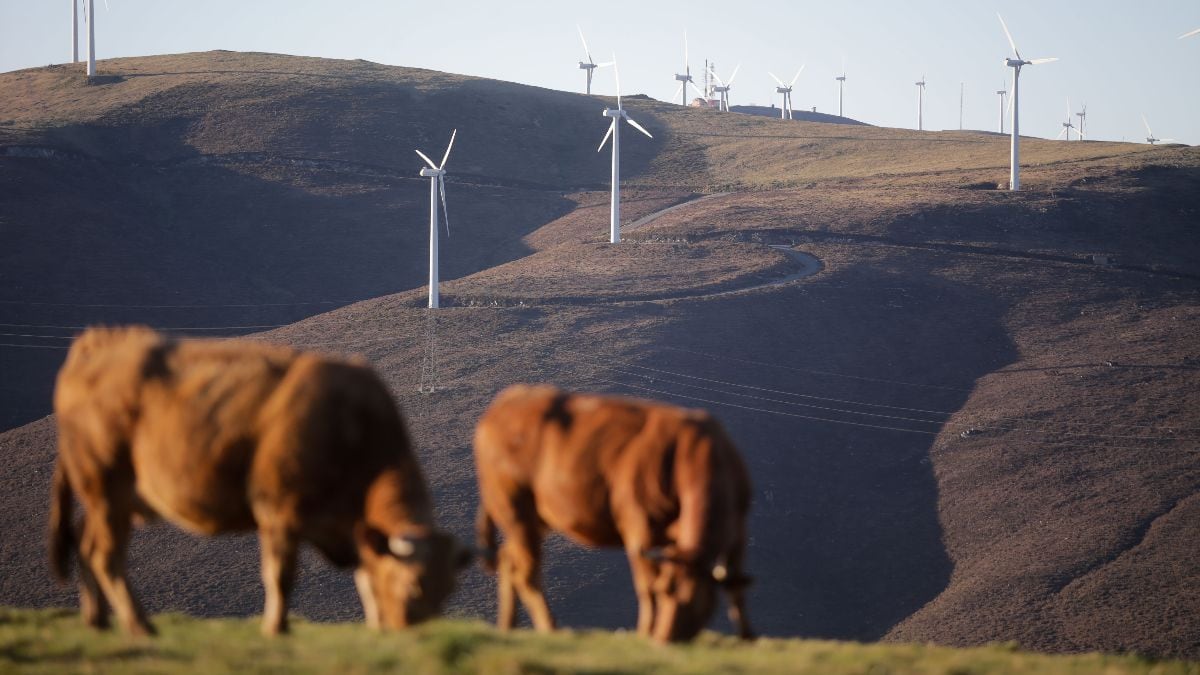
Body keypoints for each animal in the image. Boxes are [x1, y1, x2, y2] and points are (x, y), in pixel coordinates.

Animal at [48, 324, 468, 634]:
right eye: (413, 584)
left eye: (449, 591)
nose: (415, 635)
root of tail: (89, 346)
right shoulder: (278, 508)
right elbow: (280, 575)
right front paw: (275, 630)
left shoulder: (353, 529)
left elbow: (367, 579)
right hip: (104, 484)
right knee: (105, 556)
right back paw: (140, 627)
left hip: (114, 498)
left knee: (85, 544)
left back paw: (98, 621)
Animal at [472, 381, 753, 638]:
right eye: (666, 592)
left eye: (700, 606)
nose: (665, 640)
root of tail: (508, 399)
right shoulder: (638, 528)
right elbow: (646, 587)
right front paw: (645, 636)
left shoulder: (737, 531)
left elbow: (736, 589)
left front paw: (746, 639)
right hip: (514, 508)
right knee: (526, 574)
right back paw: (551, 631)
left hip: (534, 519)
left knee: (509, 560)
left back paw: (507, 628)